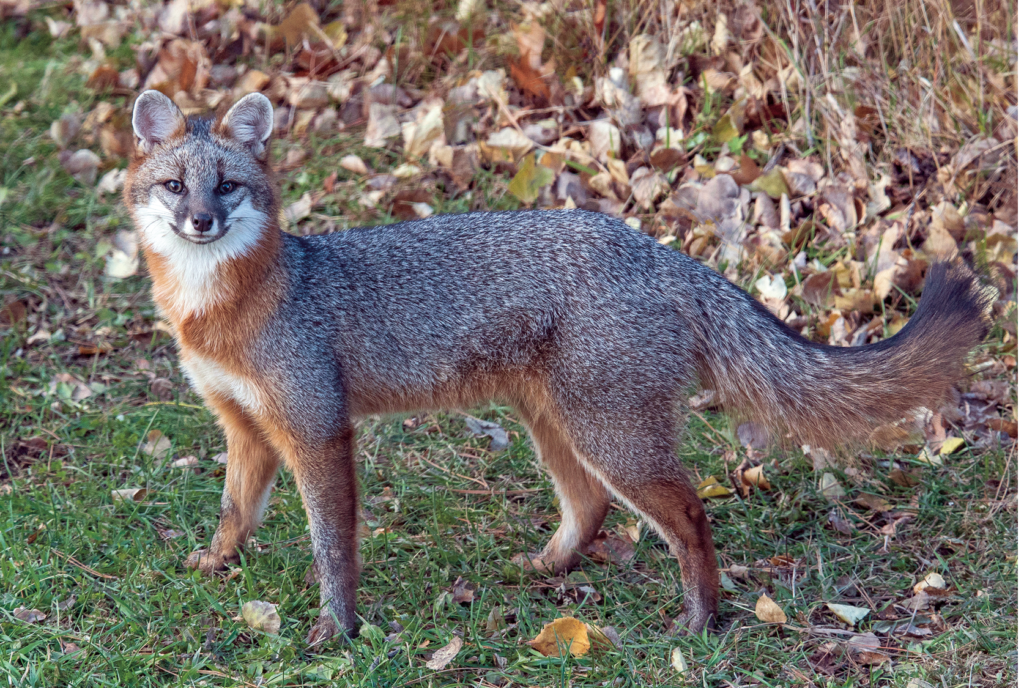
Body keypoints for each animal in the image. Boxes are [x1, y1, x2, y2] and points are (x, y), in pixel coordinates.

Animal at [121, 88, 991, 642]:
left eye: (228, 186)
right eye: (174, 185)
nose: (199, 221)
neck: (222, 313)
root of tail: (658, 250)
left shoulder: (316, 429)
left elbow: (332, 546)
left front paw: (338, 631)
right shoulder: (246, 429)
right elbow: (235, 512)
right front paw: (215, 564)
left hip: (610, 436)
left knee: (689, 515)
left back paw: (701, 623)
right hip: (559, 426)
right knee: (590, 506)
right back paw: (545, 568)